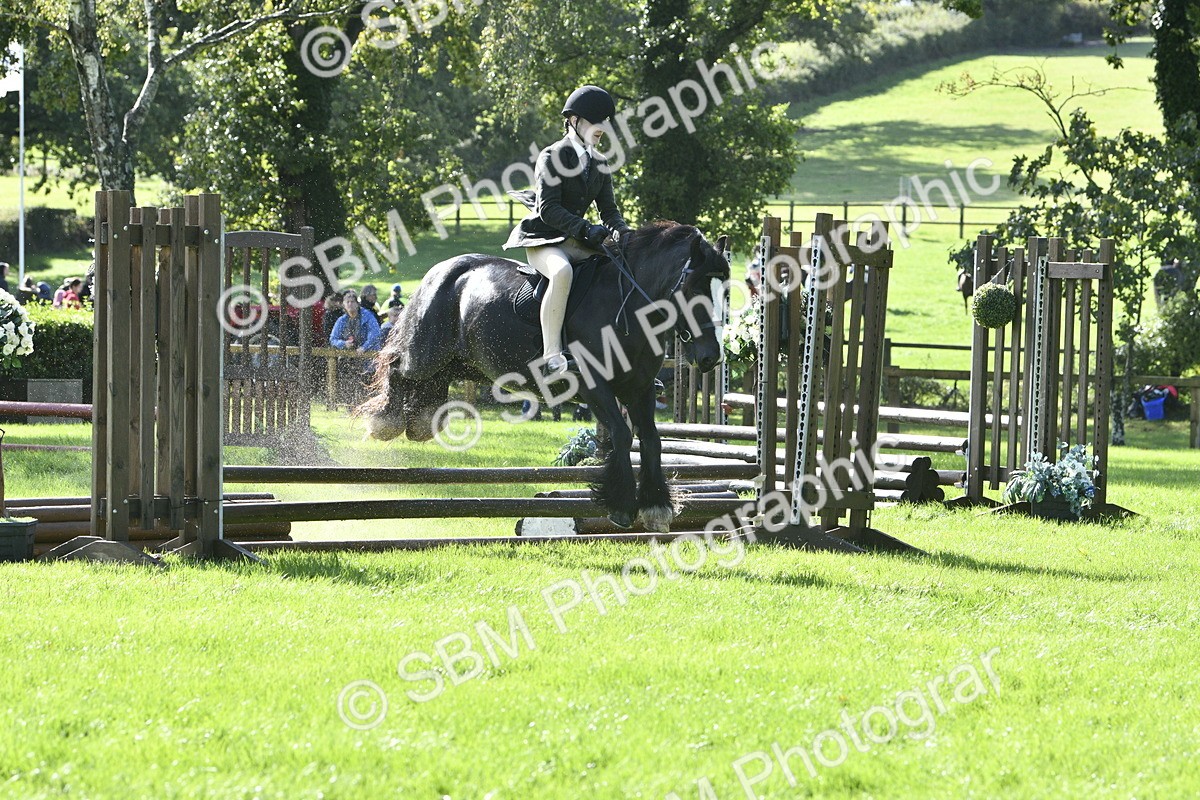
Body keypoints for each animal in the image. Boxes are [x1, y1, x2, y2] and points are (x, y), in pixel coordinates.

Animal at [358, 221, 730, 531]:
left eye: (724, 293)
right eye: (692, 289)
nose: (710, 357)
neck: (626, 307)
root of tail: (442, 269)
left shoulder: (640, 390)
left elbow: (652, 440)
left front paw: (656, 507)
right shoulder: (594, 385)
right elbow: (623, 435)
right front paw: (622, 507)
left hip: (460, 363)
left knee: (429, 383)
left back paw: (420, 420)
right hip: (426, 354)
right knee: (397, 368)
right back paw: (386, 420)